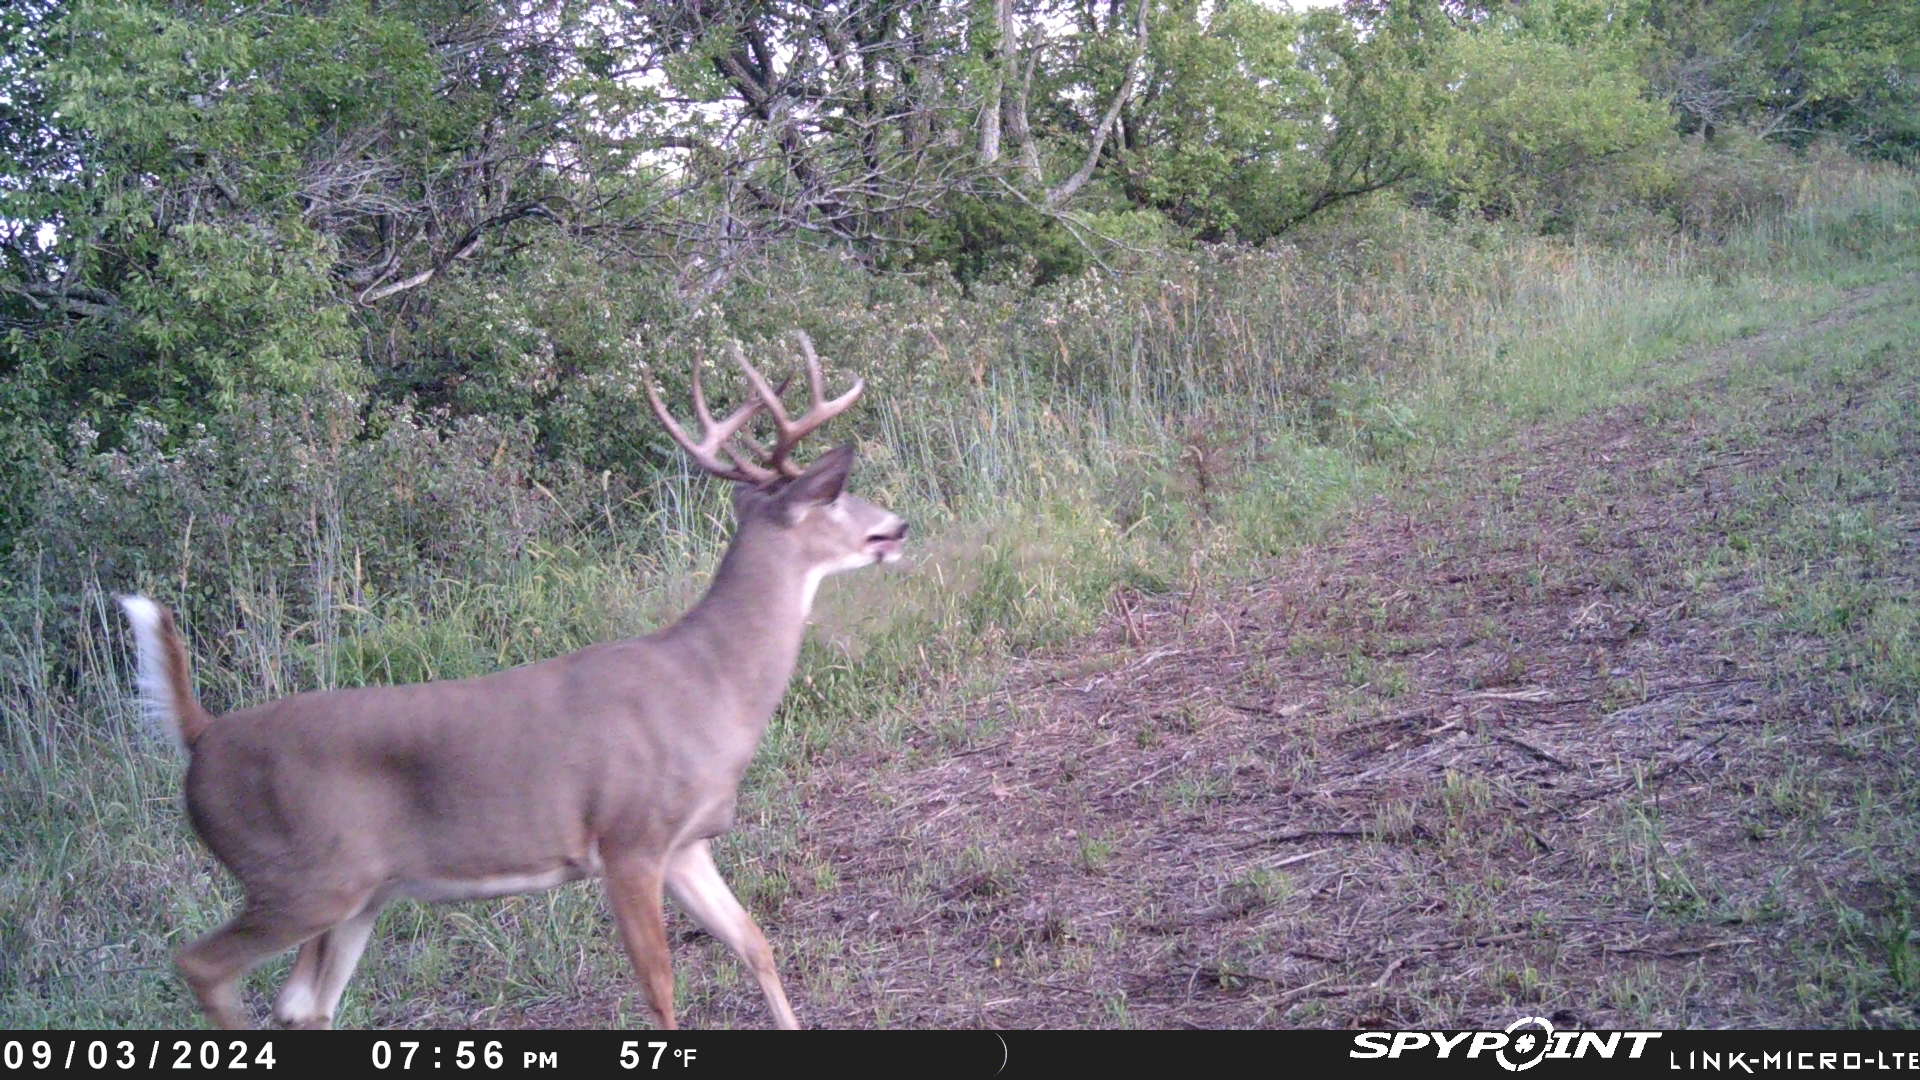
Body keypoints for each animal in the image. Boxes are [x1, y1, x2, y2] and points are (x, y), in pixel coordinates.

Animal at [117, 332, 907, 1031]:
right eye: (836, 495)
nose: (897, 526)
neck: (710, 684)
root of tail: (202, 737)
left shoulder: (685, 843)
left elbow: (755, 944)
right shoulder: (629, 838)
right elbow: (660, 991)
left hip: (360, 893)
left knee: (301, 1003)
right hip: (298, 878)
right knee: (202, 965)